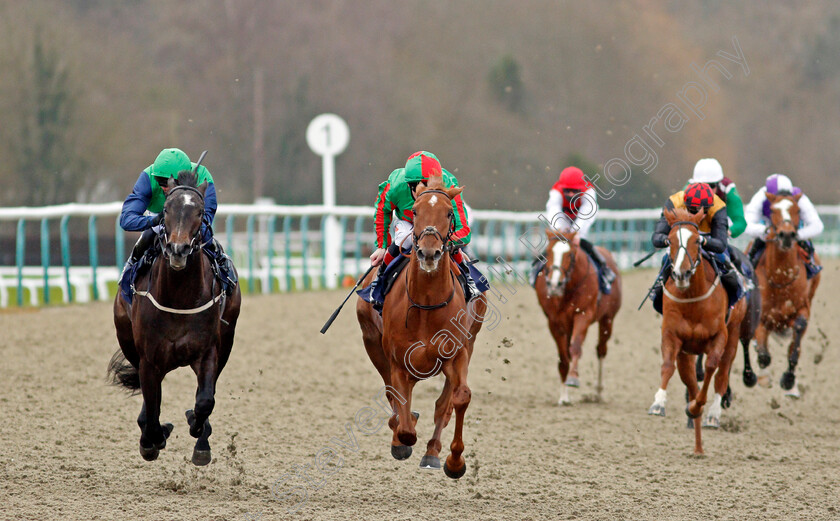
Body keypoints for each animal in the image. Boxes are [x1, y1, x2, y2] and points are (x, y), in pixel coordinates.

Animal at [108, 170, 240, 464]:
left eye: (200, 211)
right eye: (167, 209)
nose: (178, 250)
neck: (179, 298)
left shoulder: (208, 351)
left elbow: (205, 400)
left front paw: (197, 430)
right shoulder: (149, 358)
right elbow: (153, 406)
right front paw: (153, 439)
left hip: (226, 342)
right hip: (128, 340)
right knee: (149, 399)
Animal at [354, 176, 486, 480]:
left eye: (449, 213)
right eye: (415, 211)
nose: (428, 252)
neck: (426, 303)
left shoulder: (457, 353)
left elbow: (459, 398)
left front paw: (454, 461)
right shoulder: (398, 361)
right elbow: (403, 423)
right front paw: (402, 437)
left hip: (470, 340)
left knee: (442, 405)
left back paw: (432, 452)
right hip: (372, 343)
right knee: (394, 397)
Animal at [536, 230, 620, 404]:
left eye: (570, 254)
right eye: (548, 252)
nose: (554, 285)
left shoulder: (583, 315)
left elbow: (575, 347)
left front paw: (573, 378)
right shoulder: (554, 322)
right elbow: (563, 358)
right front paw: (563, 396)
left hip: (607, 320)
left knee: (601, 350)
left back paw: (598, 391)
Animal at [648, 209, 744, 452]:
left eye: (695, 241)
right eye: (669, 241)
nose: (681, 274)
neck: (692, 298)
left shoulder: (719, 336)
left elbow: (711, 368)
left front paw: (701, 406)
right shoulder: (672, 336)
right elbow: (667, 366)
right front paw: (658, 402)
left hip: (734, 334)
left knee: (721, 375)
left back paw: (712, 415)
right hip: (687, 353)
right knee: (690, 382)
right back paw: (697, 442)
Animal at [756, 193, 820, 396]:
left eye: (797, 210)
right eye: (772, 210)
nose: (786, 235)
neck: (780, 278)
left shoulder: (803, 308)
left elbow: (797, 338)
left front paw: (788, 379)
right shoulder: (761, 315)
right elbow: (763, 356)